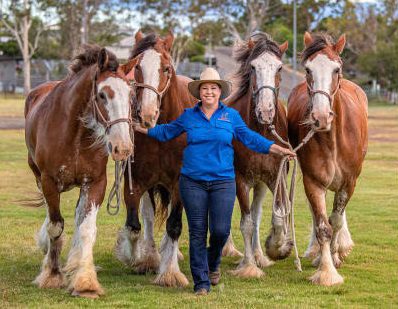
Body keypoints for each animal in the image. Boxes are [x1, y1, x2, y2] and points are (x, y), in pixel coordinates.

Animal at [26, 45, 137, 296]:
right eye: (102, 95)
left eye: (131, 95)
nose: (123, 147)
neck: (75, 133)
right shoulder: (49, 181)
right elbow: (55, 227)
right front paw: (52, 274)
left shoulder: (95, 183)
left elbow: (86, 229)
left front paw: (85, 280)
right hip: (38, 177)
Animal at [114, 31, 197, 286]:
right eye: (137, 68)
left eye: (166, 68)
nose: (147, 115)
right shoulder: (136, 182)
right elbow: (134, 225)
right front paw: (138, 258)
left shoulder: (179, 183)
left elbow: (174, 225)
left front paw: (169, 272)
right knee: (149, 217)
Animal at [224, 31, 292, 276]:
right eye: (253, 67)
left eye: (279, 68)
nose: (265, 111)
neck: (260, 131)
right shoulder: (240, 180)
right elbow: (246, 223)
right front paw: (248, 266)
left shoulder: (275, 178)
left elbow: (277, 216)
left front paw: (276, 247)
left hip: (261, 184)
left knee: (257, 214)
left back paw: (260, 255)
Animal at [288, 32, 368, 286]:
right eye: (307, 69)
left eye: (337, 69)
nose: (320, 117)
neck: (333, 139)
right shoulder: (313, 182)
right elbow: (323, 226)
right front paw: (326, 271)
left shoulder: (349, 183)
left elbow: (337, 221)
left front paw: (334, 257)